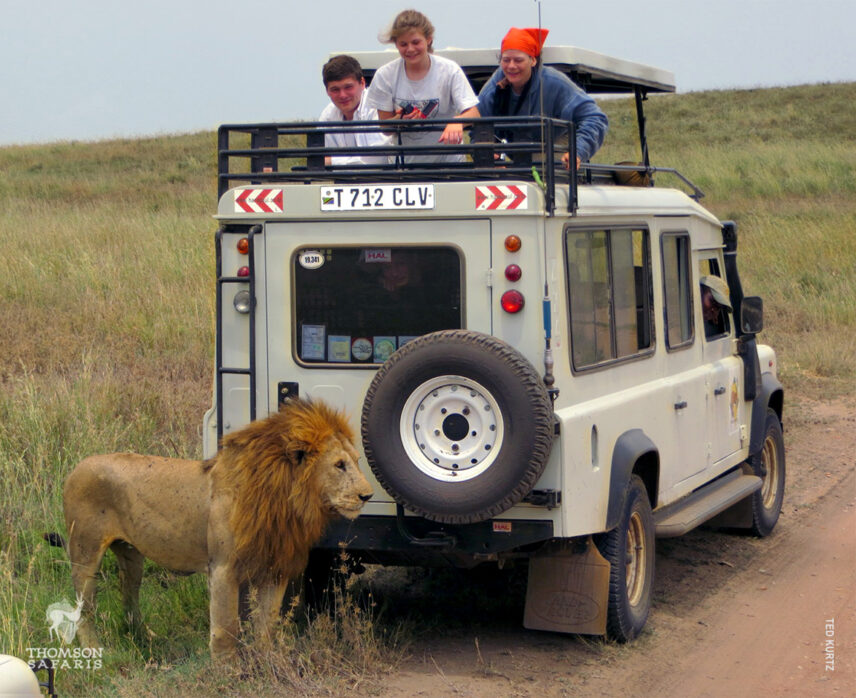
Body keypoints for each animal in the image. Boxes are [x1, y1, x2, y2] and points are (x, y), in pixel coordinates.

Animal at [58, 398, 373, 660]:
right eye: (339, 465)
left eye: (358, 461)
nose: (367, 495)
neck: (284, 500)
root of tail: (77, 466)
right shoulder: (223, 568)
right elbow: (226, 627)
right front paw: (227, 670)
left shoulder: (275, 569)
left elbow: (267, 624)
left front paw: (270, 662)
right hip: (85, 553)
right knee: (83, 607)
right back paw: (95, 650)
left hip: (131, 553)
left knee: (129, 591)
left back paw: (144, 637)